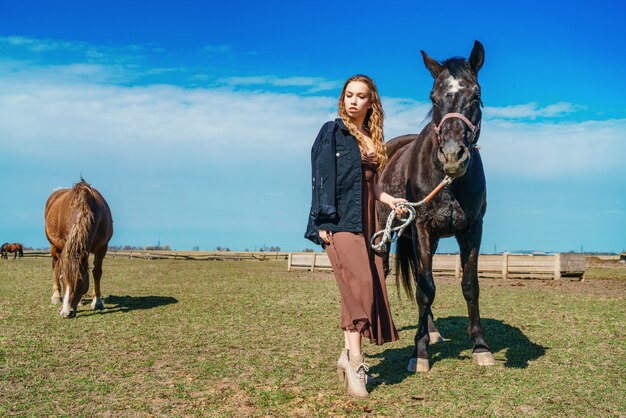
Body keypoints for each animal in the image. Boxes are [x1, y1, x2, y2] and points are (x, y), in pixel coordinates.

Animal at [44, 178, 113, 318]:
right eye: (62, 279)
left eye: (80, 280)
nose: (66, 312)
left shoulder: (102, 248)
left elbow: (96, 272)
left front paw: (97, 301)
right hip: (54, 246)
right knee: (55, 266)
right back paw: (56, 296)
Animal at [376, 40, 492, 372]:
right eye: (433, 97)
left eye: (476, 95)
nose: (452, 155)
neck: (448, 182)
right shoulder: (422, 228)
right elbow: (426, 289)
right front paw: (420, 352)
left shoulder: (472, 230)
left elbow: (469, 284)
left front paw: (480, 346)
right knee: (388, 271)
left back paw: (433, 331)